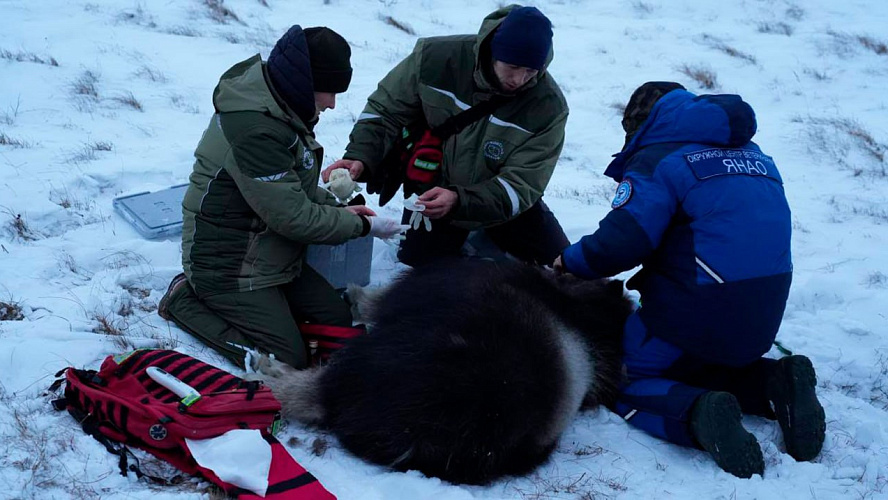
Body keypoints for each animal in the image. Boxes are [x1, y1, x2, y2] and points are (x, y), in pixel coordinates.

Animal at [248, 260, 632, 482]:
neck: (577, 315)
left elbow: (375, 301)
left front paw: (356, 295)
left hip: (377, 358)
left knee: (310, 392)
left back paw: (265, 374)